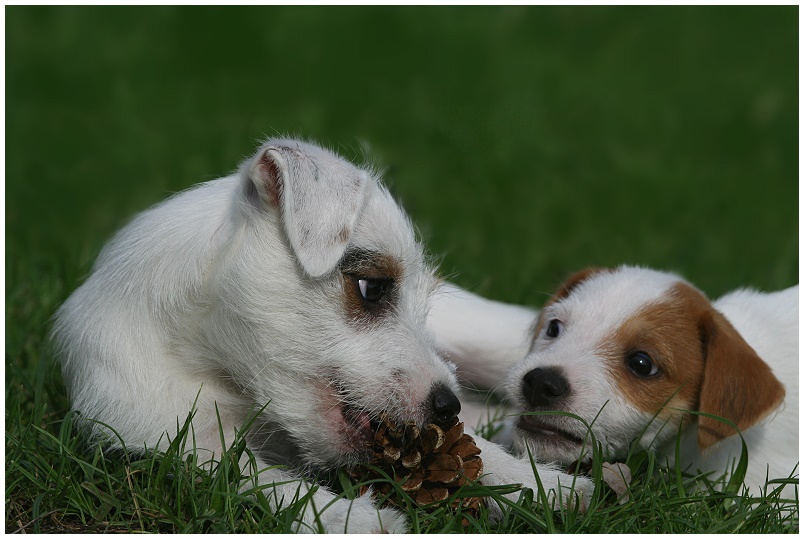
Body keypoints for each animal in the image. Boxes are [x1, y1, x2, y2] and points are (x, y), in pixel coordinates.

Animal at [50, 137, 592, 532]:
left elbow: (478, 450)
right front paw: (354, 519)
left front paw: (548, 487)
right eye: (372, 287)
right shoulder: (170, 442)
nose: (446, 406)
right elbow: (261, 481)